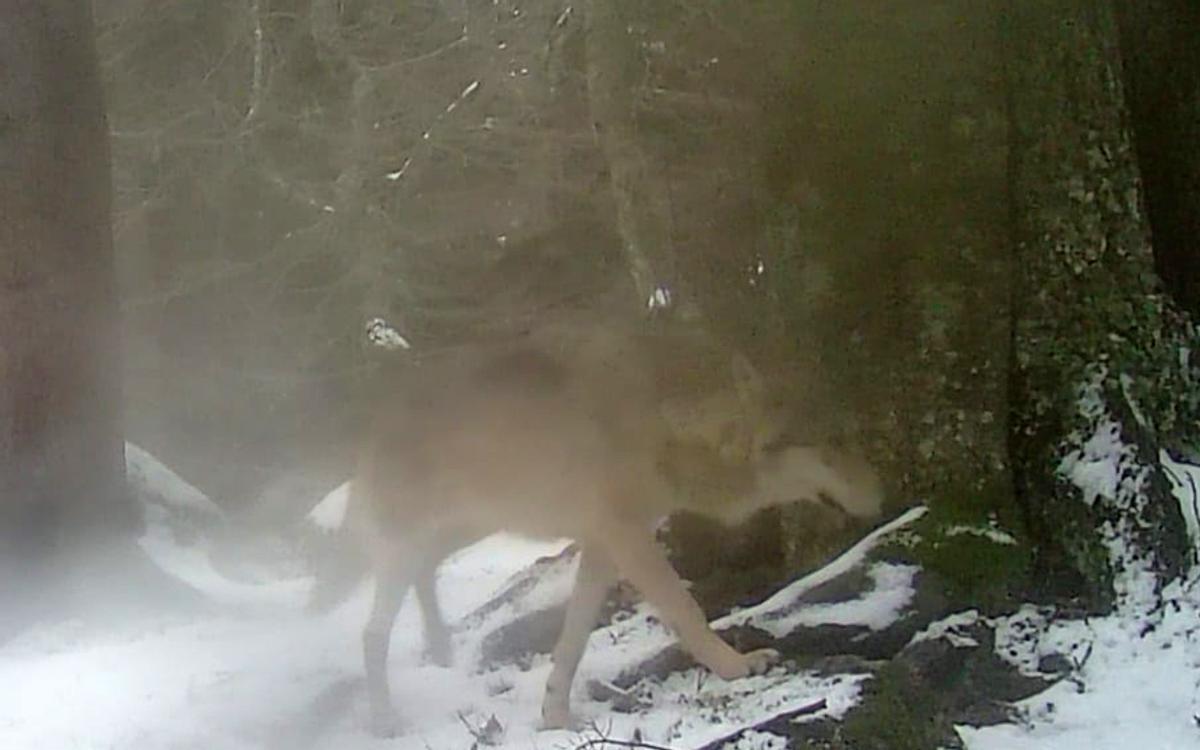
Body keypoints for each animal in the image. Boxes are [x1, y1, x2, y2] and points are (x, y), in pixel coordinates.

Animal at [319, 321, 883, 729]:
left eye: (852, 435)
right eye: (830, 442)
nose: (882, 497)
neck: (669, 419)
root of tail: (371, 426)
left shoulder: (602, 544)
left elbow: (573, 640)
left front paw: (555, 717)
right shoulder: (628, 538)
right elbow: (688, 611)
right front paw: (736, 667)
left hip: (460, 531)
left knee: (423, 578)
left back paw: (439, 647)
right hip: (414, 543)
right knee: (372, 633)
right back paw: (387, 719)